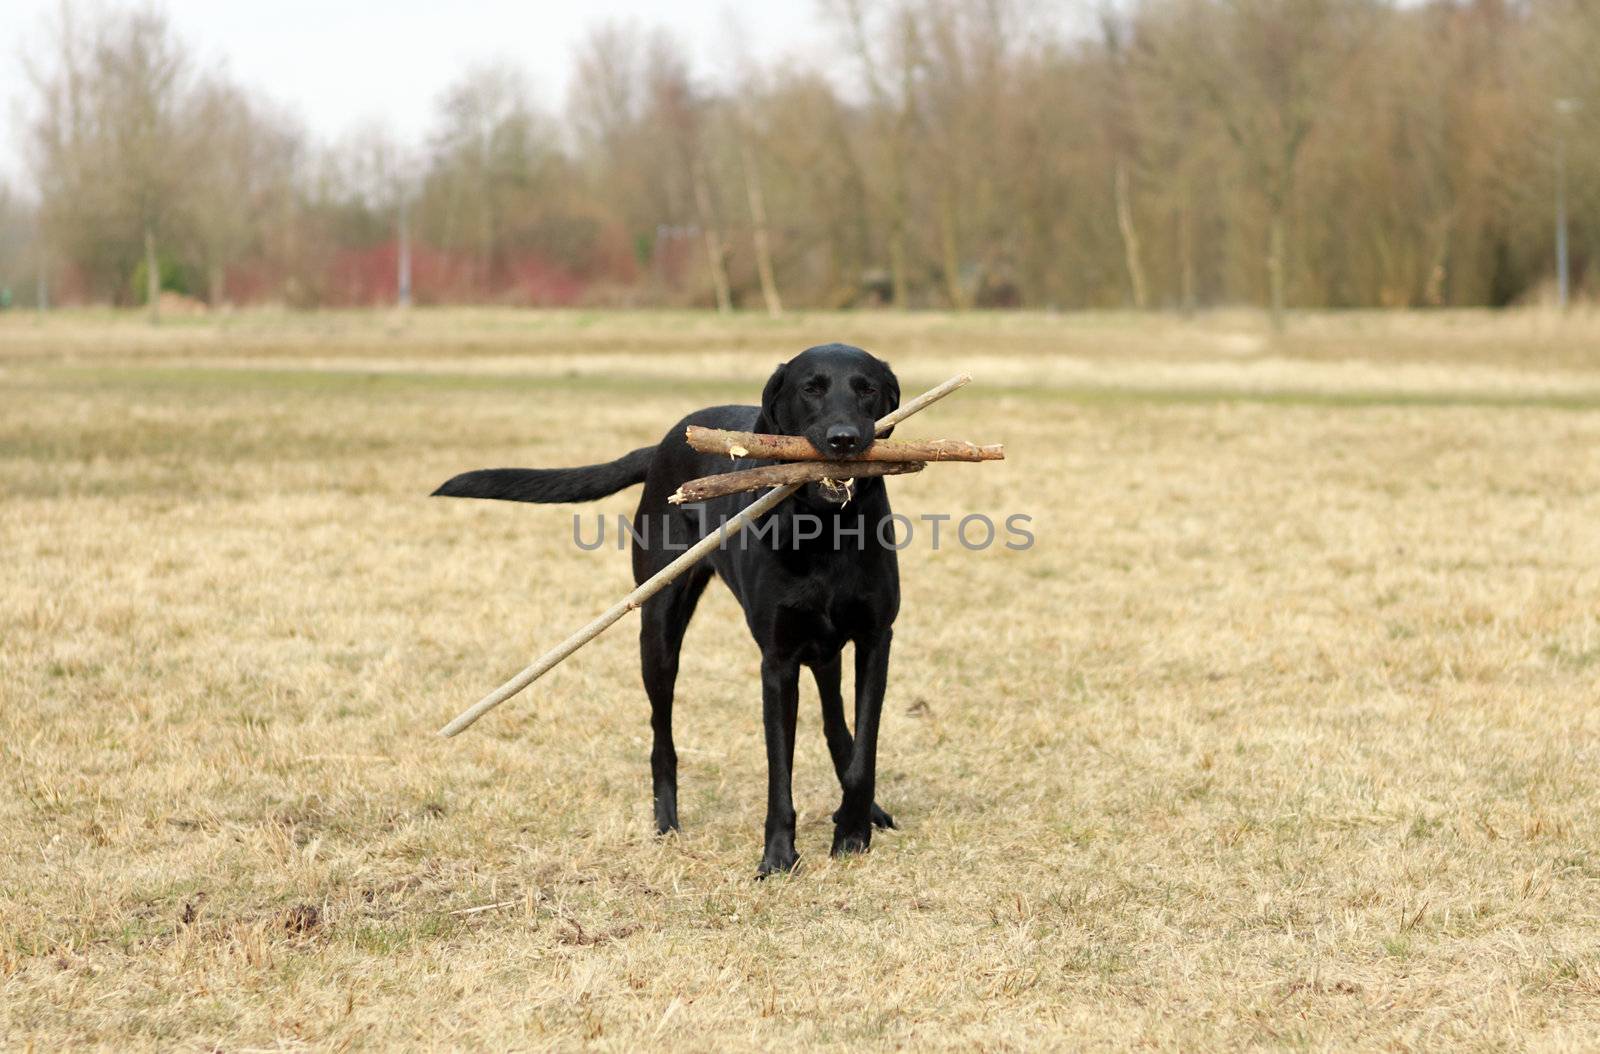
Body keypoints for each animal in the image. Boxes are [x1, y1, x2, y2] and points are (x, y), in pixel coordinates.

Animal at [432, 343, 908, 876]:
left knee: (835, 727)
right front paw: (778, 857)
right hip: (658, 632)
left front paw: (852, 832)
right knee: (662, 738)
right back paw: (666, 823)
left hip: (820, 650)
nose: (844, 439)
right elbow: (778, 770)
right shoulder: (777, 661)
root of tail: (663, 443)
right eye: (812, 388)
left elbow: (863, 750)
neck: (826, 529)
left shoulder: (874, 641)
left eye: (867, 389)